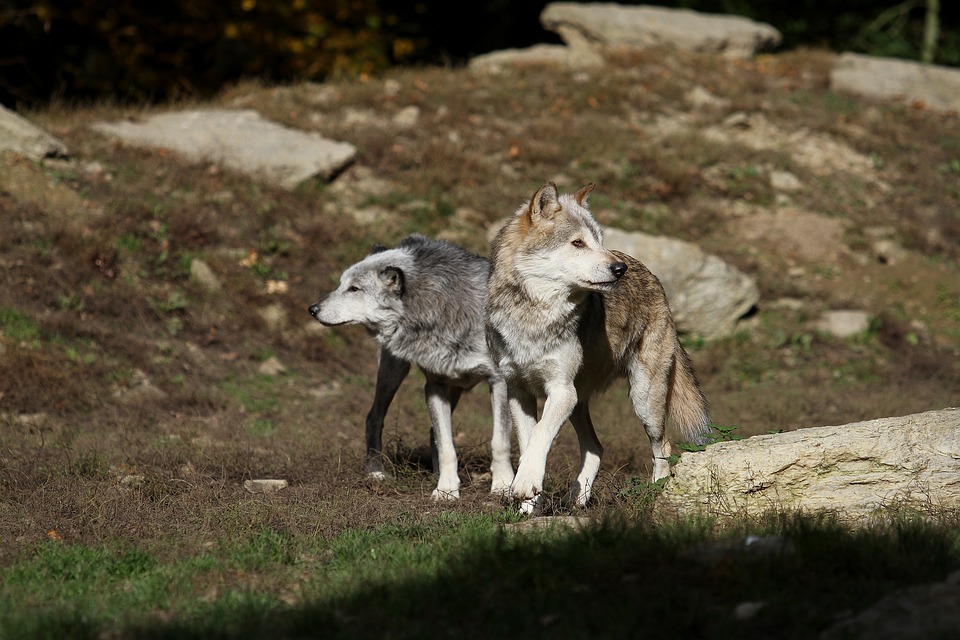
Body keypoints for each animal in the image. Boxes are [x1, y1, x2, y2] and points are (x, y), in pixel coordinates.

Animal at [312, 234, 512, 500]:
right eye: (340, 285)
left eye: (354, 289)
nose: (312, 309)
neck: (441, 309)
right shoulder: (435, 386)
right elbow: (447, 447)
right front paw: (446, 490)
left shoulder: (499, 382)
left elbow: (499, 442)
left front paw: (502, 486)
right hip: (394, 374)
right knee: (374, 417)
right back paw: (376, 472)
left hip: (452, 388)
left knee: (431, 432)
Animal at [484, 182, 708, 512]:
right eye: (578, 243)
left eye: (599, 241)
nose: (619, 268)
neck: (533, 315)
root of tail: (651, 274)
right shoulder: (519, 391)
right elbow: (529, 444)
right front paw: (527, 506)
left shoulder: (560, 390)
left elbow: (540, 435)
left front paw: (525, 487)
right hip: (579, 402)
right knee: (596, 448)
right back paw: (576, 499)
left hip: (642, 399)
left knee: (663, 445)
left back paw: (655, 492)